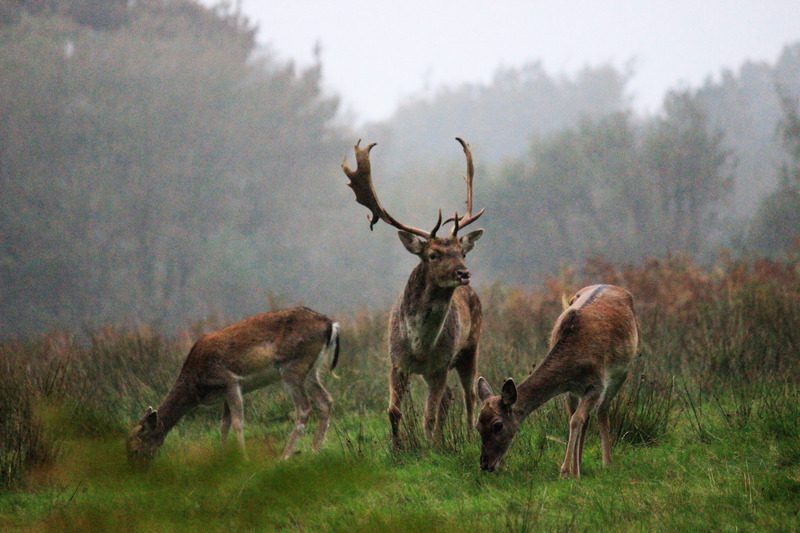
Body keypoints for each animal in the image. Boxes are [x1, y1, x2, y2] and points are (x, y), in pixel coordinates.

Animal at [126, 306, 340, 464]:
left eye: (135, 448)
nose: (133, 471)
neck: (196, 386)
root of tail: (331, 325)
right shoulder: (225, 392)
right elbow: (224, 425)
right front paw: (223, 459)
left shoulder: (230, 381)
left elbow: (237, 422)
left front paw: (243, 458)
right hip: (312, 370)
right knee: (326, 400)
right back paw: (315, 450)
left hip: (292, 367)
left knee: (304, 408)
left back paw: (285, 456)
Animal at [340, 137, 484, 444]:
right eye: (433, 254)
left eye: (462, 253)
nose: (464, 273)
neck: (419, 348)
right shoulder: (396, 362)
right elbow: (393, 411)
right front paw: (397, 446)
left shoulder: (440, 365)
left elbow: (428, 415)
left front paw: (429, 446)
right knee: (450, 397)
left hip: (470, 347)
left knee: (468, 396)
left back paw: (467, 436)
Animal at [476, 284, 636, 476]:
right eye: (477, 426)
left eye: (498, 425)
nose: (485, 465)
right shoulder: (570, 390)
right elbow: (575, 418)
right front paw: (574, 469)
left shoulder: (597, 384)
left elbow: (575, 420)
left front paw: (566, 472)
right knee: (586, 417)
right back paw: (580, 464)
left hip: (621, 374)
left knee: (602, 410)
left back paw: (607, 463)